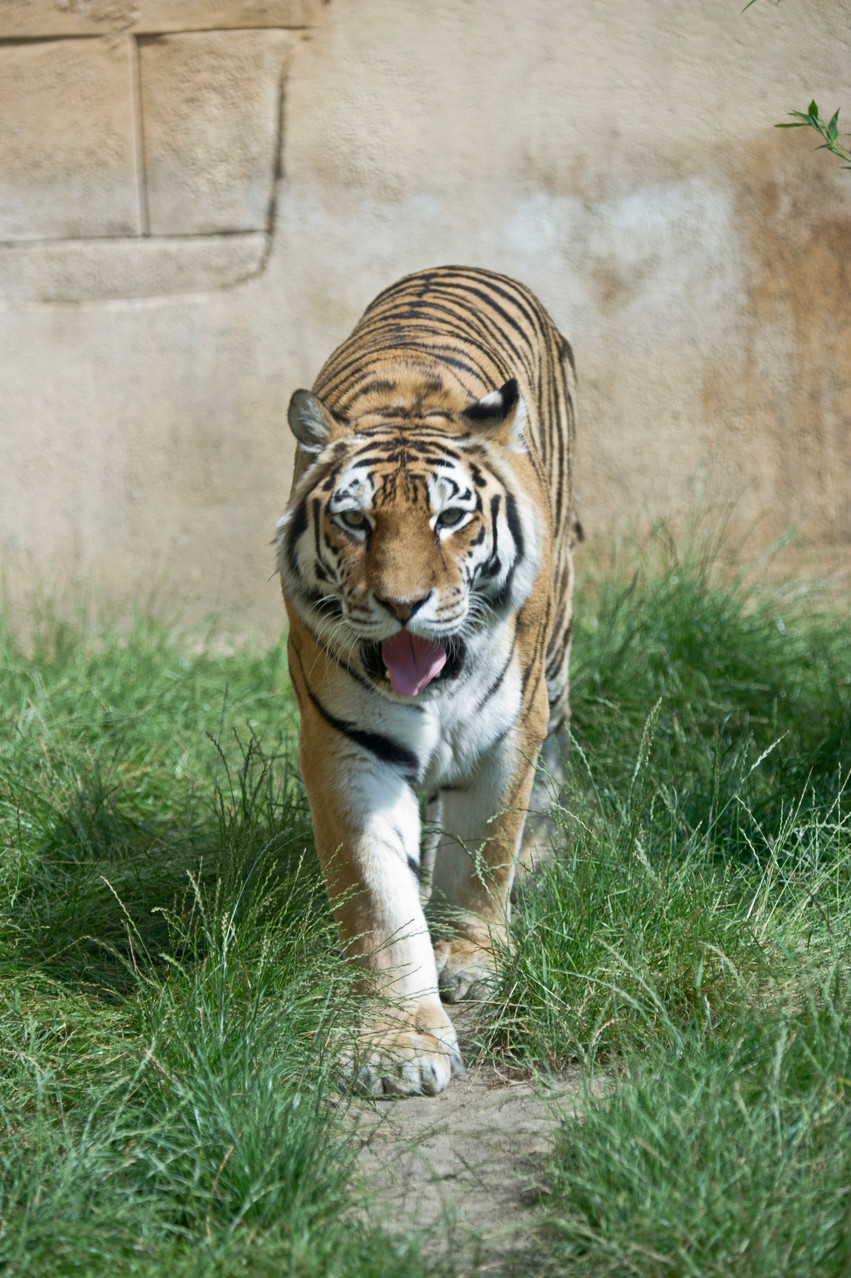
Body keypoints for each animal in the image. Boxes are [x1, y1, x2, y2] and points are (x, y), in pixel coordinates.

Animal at [274, 264, 572, 1093]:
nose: (401, 605)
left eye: (448, 519)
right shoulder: (348, 746)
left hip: (558, 660)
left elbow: (484, 852)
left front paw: (469, 955)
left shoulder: (507, 734)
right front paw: (396, 1043)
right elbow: (379, 898)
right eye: (356, 522)